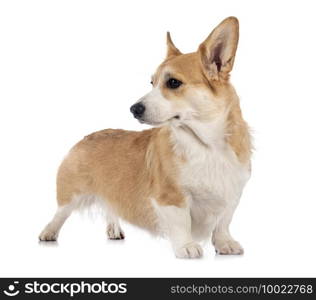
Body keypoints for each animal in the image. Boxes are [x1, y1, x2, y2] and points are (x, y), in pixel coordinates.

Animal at [39, 17, 252, 258]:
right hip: (71, 193)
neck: (207, 145)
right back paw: (48, 232)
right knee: (59, 213)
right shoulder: (171, 197)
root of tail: (87, 136)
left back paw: (114, 229)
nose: (133, 109)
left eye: (173, 82)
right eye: (152, 83)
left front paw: (225, 243)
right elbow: (182, 223)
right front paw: (187, 246)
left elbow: (223, 223)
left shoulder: (233, 193)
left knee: (111, 207)